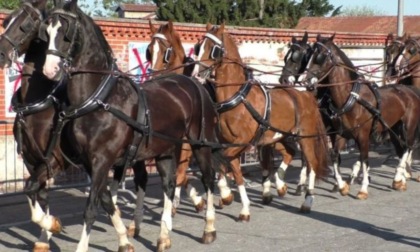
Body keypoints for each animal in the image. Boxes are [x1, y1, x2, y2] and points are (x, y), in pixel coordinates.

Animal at [148, 19, 207, 214]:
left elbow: (180, 175)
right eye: (149, 51)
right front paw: (195, 200)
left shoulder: (187, 145)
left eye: (166, 51)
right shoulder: (171, 145)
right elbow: (178, 175)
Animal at [192, 23, 330, 219]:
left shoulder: (242, 142)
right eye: (199, 47)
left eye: (214, 49)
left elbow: (222, 162)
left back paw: (307, 200)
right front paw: (240, 205)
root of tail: (306, 94)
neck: (238, 97)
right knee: (289, 153)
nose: (197, 74)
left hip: (306, 139)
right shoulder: (230, 143)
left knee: (311, 164)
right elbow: (233, 170)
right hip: (277, 137)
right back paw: (280, 185)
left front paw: (225, 194)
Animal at [306, 34, 420, 199]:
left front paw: (363, 189)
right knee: (402, 148)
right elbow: (334, 156)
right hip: (393, 129)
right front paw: (342, 186)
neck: (351, 98)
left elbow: (365, 159)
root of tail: (410, 91)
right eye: (310, 54)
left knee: (407, 147)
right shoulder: (342, 134)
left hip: (408, 127)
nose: (307, 82)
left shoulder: (363, 135)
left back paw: (400, 177)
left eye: (321, 56)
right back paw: (399, 179)